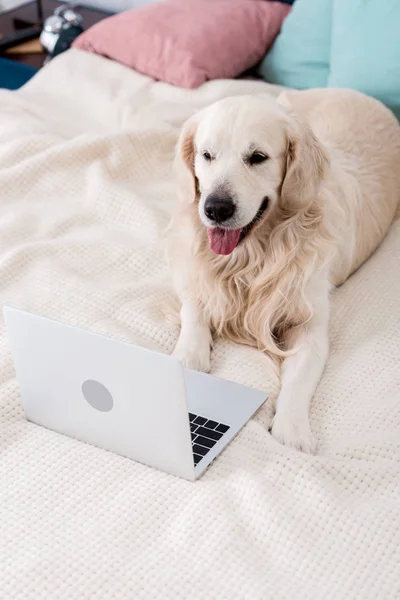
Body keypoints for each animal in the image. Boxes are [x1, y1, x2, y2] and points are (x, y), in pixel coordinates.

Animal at [166, 89, 400, 452]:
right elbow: (194, 309)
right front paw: (189, 356)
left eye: (257, 157)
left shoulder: (310, 326)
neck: (253, 257)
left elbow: (299, 381)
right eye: (207, 155)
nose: (215, 208)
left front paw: (292, 431)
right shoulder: (193, 275)